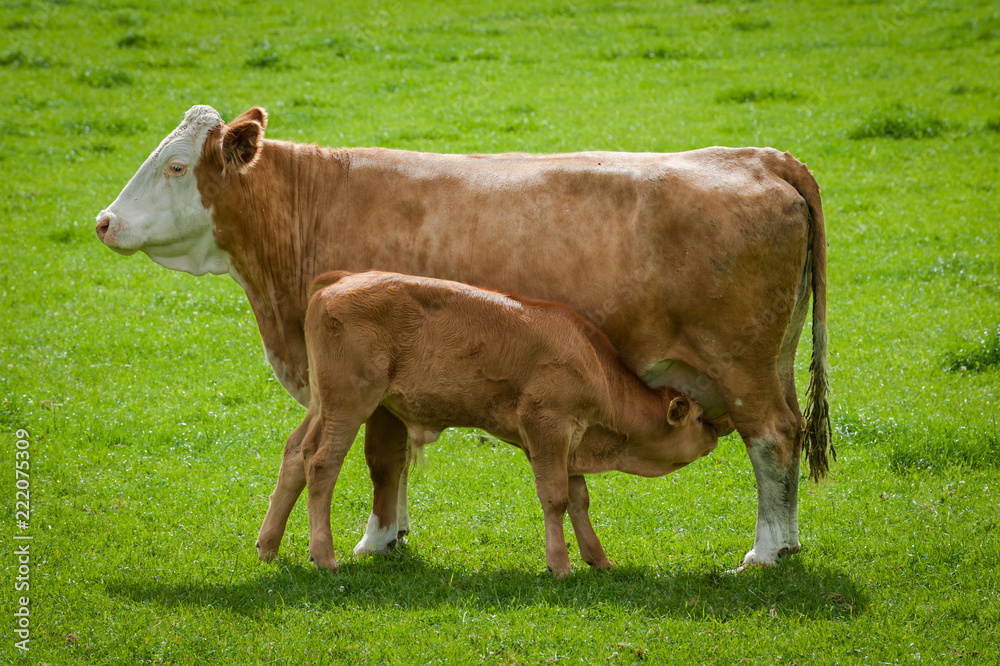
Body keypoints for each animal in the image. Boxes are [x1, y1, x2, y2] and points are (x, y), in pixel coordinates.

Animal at [258, 270, 720, 576]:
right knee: (321, 463)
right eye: (698, 416)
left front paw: (599, 559)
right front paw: (560, 565)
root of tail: (338, 281)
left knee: (295, 453)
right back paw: (324, 557)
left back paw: (268, 547)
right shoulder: (547, 427)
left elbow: (579, 499)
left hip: (323, 405)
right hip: (349, 403)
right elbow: (555, 498)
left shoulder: (568, 442)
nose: (716, 431)